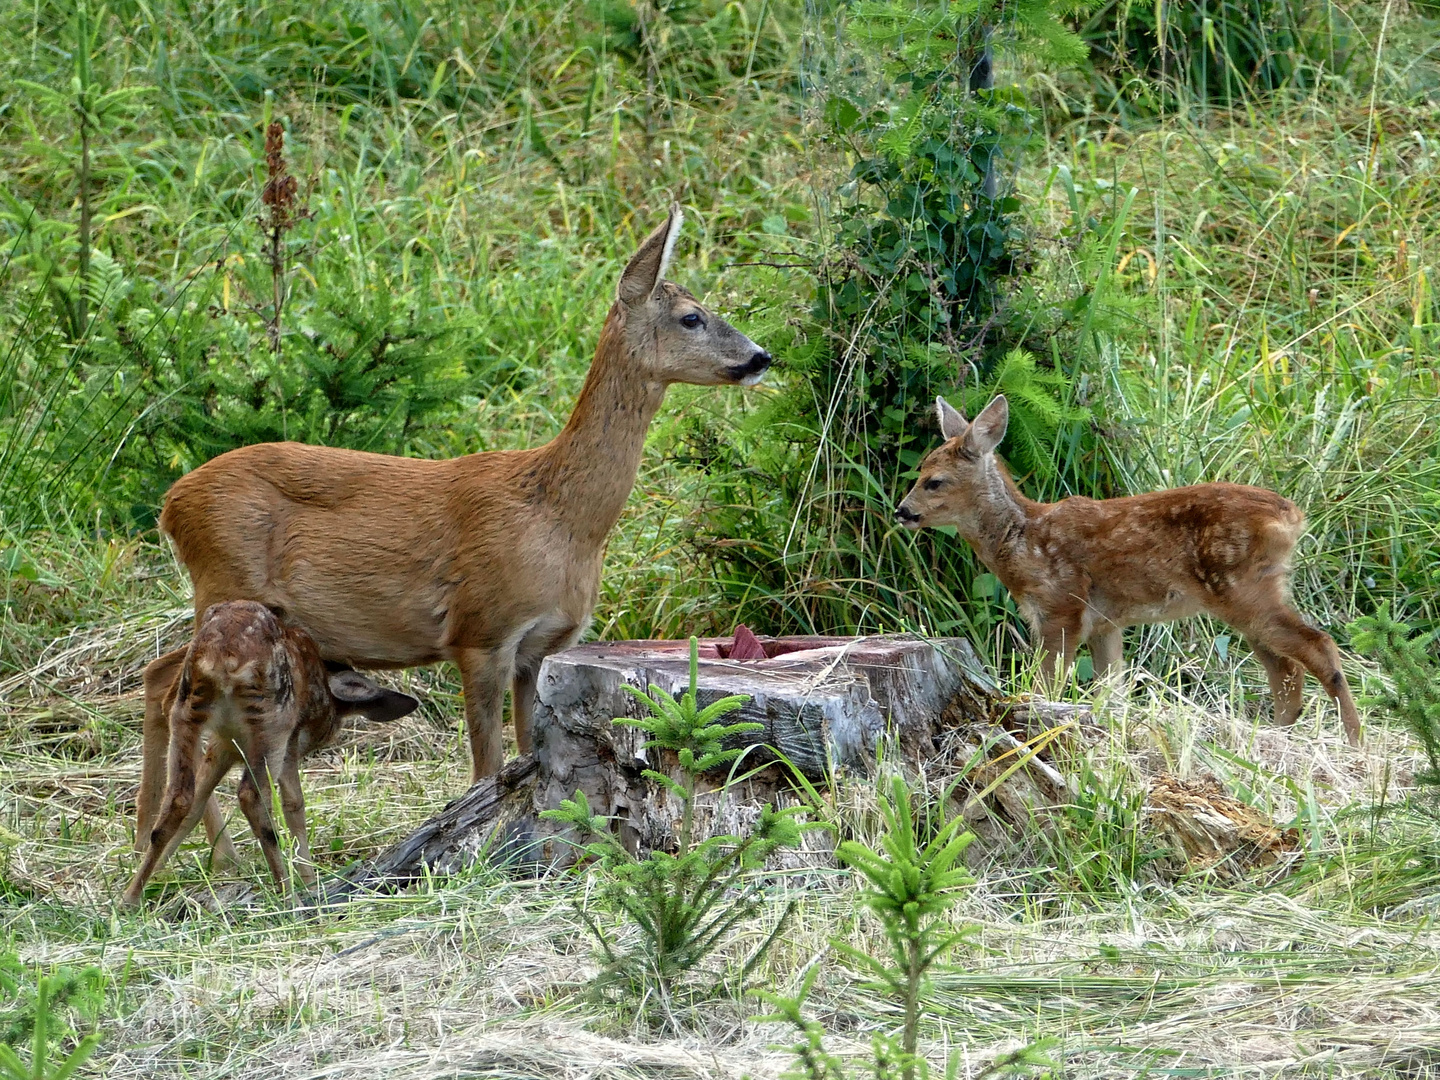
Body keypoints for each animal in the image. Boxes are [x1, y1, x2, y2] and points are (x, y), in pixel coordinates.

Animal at [121, 601, 420, 904]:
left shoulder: (225, 743)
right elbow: (294, 803)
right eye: (324, 731)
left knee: (179, 798)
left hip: (187, 707)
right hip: (273, 720)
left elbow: (197, 803)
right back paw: (289, 896)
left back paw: (129, 898)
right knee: (251, 796)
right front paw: (309, 882)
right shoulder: (289, 741)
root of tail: (225, 656)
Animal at [138, 207, 771, 858]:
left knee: (158, 679)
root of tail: (171, 504)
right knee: (168, 685)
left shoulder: (539, 647)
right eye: (691, 316)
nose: (761, 356)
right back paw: (201, 847)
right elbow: (485, 768)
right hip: (227, 584)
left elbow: (527, 753)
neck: (561, 522)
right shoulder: (480, 631)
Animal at [898, 394, 1359, 748]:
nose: (903, 511)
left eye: (935, 480)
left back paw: (1354, 742)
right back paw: (1276, 737)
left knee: (1317, 646)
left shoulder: (1061, 606)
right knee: (1285, 669)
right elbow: (1111, 691)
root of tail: (1293, 516)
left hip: (1243, 588)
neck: (1024, 539)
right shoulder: (1105, 623)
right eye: (919, 471)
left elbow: (1046, 686)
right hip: (1250, 593)